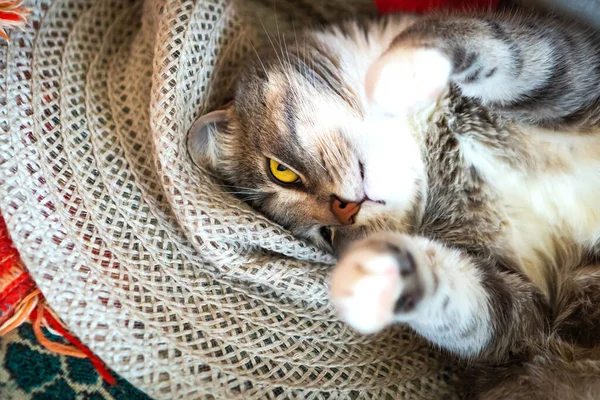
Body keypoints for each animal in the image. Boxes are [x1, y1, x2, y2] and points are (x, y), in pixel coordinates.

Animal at [190, 9, 600, 400]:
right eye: (325, 235)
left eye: (281, 172)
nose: (346, 211)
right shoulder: (523, 313)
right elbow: (470, 305)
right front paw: (376, 277)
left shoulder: (576, 70)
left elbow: (512, 55)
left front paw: (405, 71)